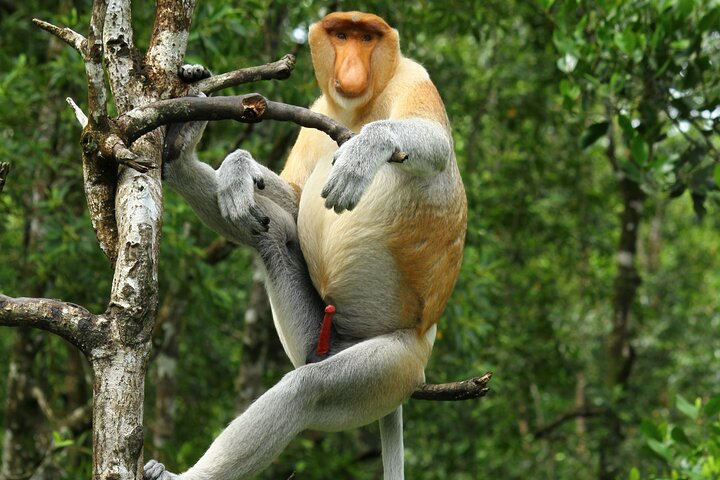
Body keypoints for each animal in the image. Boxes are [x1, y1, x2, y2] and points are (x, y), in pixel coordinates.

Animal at [144, 11, 466, 480]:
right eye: (342, 35)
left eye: (367, 38)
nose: (350, 67)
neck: (358, 107)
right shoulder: (318, 110)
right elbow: (296, 202)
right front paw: (238, 168)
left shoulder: (413, 78)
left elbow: (436, 144)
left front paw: (364, 150)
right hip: (315, 338)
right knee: (271, 231)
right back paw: (180, 152)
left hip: (395, 367)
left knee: (308, 388)